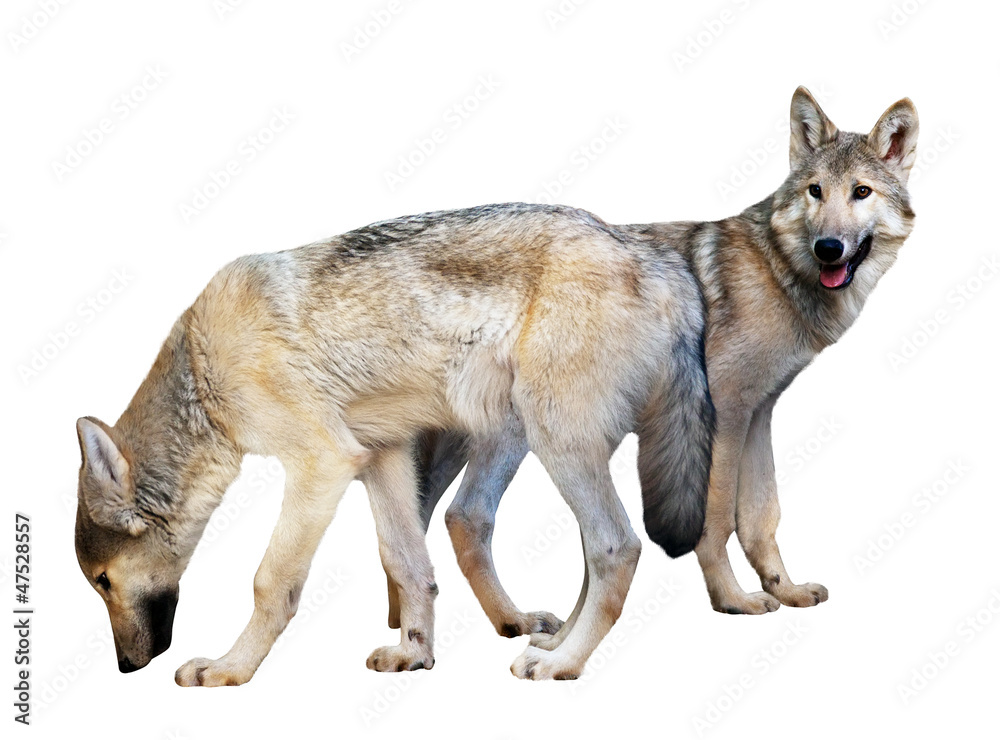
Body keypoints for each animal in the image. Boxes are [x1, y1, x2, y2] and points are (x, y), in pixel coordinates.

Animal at [74, 202, 715, 684]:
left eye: (103, 581)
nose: (125, 667)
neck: (204, 374)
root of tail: (667, 267)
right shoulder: (380, 456)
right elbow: (407, 562)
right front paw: (416, 654)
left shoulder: (322, 464)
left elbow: (270, 581)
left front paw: (231, 669)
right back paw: (545, 640)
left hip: (551, 440)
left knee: (616, 547)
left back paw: (562, 663)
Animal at [405, 87, 918, 636]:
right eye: (815, 191)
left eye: (861, 192)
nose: (828, 248)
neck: (775, 269)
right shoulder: (724, 414)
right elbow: (716, 520)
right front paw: (733, 599)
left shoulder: (759, 412)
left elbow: (762, 516)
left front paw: (786, 590)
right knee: (456, 518)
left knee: (447, 517)